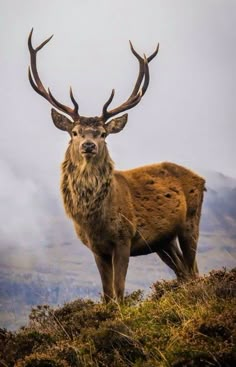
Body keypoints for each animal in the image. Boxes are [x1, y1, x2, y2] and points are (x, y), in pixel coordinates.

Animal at [27, 30, 205, 304]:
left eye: (103, 133)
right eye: (75, 132)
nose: (88, 145)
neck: (94, 220)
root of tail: (202, 180)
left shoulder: (124, 238)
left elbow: (119, 292)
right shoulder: (96, 248)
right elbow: (107, 294)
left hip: (190, 222)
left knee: (194, 270)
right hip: (163, 241)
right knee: (184, 272)